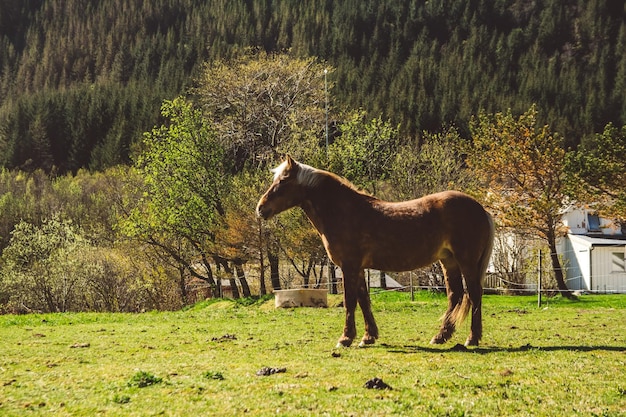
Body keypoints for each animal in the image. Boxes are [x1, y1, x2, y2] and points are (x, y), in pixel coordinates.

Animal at [254, 154, 492, 346]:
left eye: (283, 181)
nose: (260, 208)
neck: (344, 212)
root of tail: (480, 209)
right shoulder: (357, 268)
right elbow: (363, 300)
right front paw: (368, 337)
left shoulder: (349, 266)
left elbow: (350, 301)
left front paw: (345, 338)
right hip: (448, 260)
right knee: (455, 295)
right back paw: (441, 336)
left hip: (466, 261)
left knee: (474, 294)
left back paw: (472, 338)